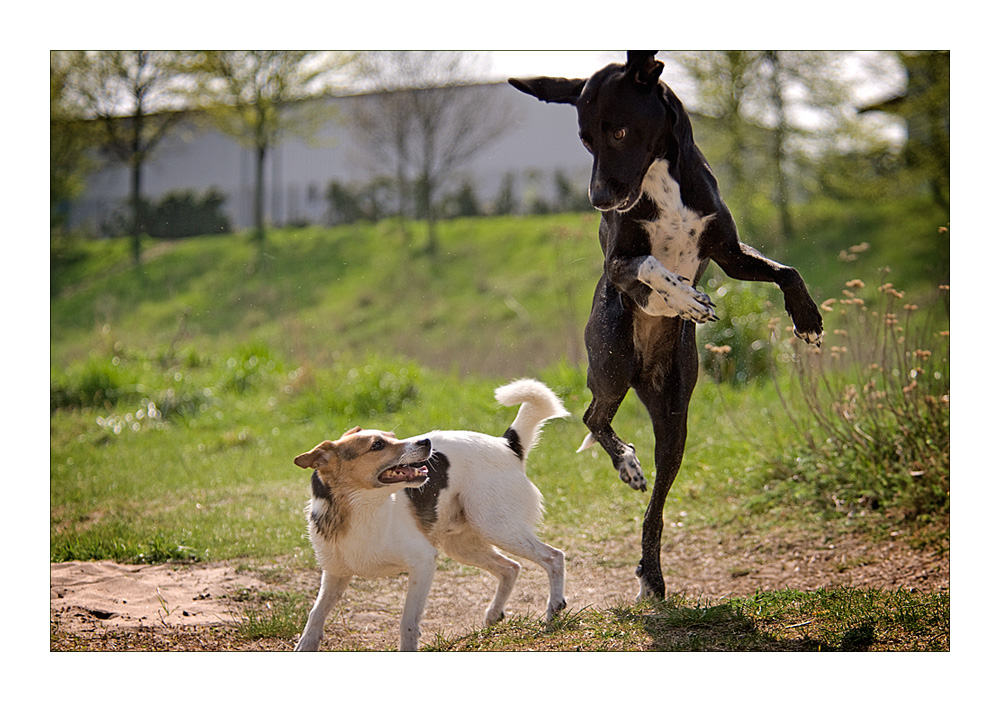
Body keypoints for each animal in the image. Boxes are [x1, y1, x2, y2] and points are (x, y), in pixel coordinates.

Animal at [292, 380, 568, 656]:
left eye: (393, 436)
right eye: (377, 445)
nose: (425, 441)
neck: (364, 508)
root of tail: (506, 444)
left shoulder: (423, 562)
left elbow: (408, 620)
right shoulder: (335, 573)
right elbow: (315, 614)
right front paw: (305, 645)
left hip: (496, 526)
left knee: (553, 557)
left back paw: (553, 609)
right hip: (462, 544)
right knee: (511, 567)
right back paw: (494, 614)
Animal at [512, 51, 824, 600]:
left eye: (617, 131)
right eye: (584, 140)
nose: (597, 199)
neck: (661, 179)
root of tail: (641, 375)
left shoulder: (729, 253)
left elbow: (787, 271)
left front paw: (806, 318)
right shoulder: (619, 264)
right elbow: (653, 266)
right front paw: (685, 299)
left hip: (675, 419)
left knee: (655, 505)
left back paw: (651, 575)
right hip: (612, 363)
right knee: (594, 416)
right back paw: (627, 462)